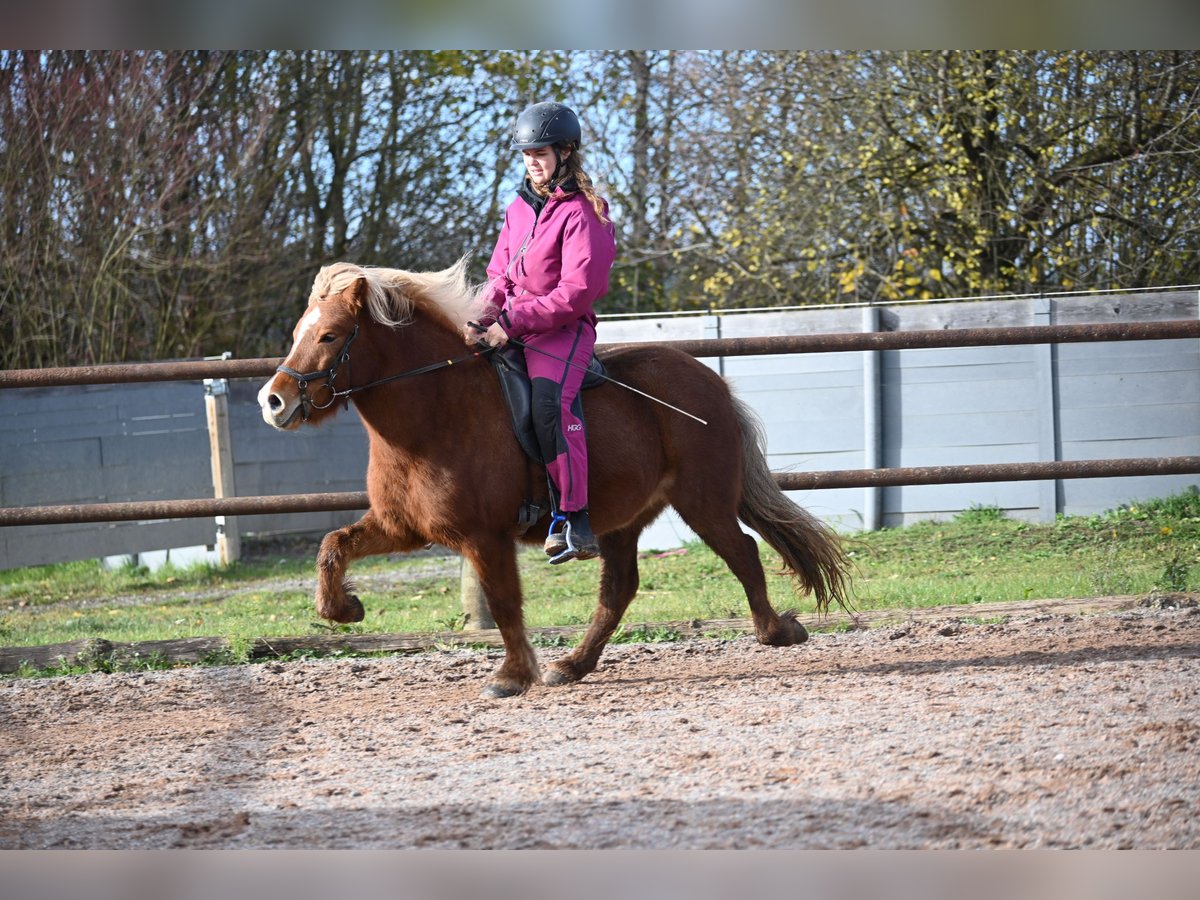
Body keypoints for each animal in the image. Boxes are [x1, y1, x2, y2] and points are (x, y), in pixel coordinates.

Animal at [259, 259, 849, 696]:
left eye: (331, 335)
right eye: (298, 333)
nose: (274, 401)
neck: (435, 415)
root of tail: (712, 382)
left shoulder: (484, 536)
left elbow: (504, 603)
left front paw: (512, 676)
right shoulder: (401, 527)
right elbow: (333, 546)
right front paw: (343, 609)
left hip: (702, 499)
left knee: (742, 552)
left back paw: (776, 631)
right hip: (623, 519)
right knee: (619, 589)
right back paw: (574, 665)